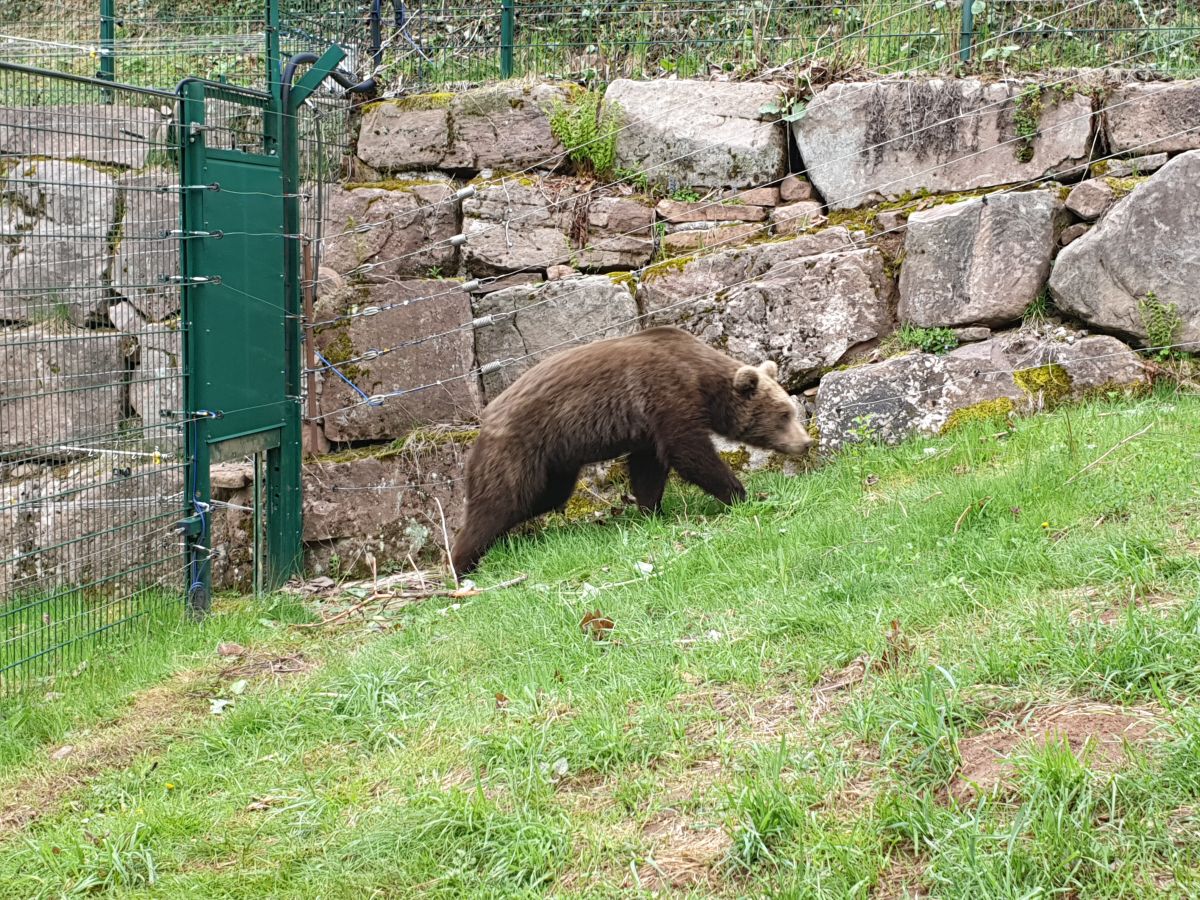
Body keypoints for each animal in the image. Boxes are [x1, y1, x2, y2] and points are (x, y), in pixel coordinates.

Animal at [451, 328, 816, 573]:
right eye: (784, 414)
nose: (805, 442)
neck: (702, 382)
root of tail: (484, 419)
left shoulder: (647, 428)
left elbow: (648, 471)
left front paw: (651, 510)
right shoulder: (666, 396)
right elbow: (690, 452)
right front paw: (740, 494)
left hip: (555, 464)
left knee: (545, 497)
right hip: (519, 449)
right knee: (498, 501)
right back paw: (462, 563)